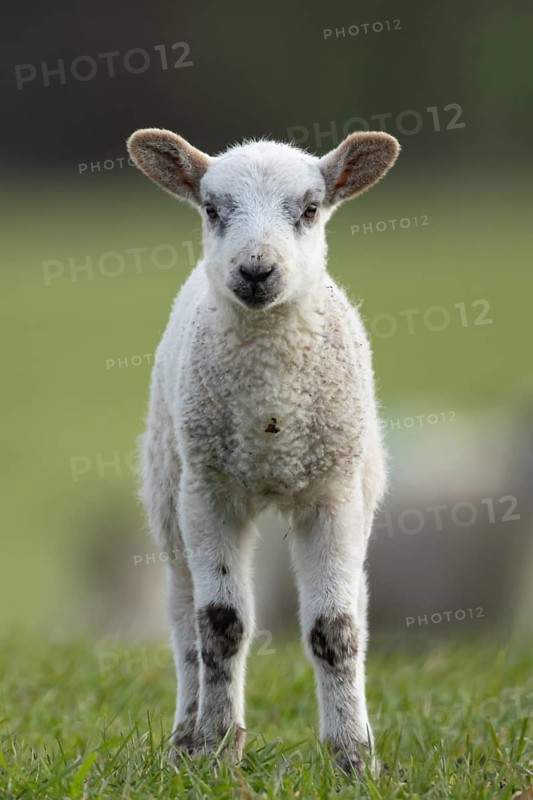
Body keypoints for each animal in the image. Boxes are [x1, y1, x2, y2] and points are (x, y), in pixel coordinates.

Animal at [126, 127, 400, 774]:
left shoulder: (333, 493)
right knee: (184, 616)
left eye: (310, 208)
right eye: (211, 208)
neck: (272, 414)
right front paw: (218, 750)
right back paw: (185, 738)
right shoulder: (210, 491)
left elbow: (335, 628)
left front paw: (353, 760)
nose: (255, 270)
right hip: (168, 484)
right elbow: (221, 627)